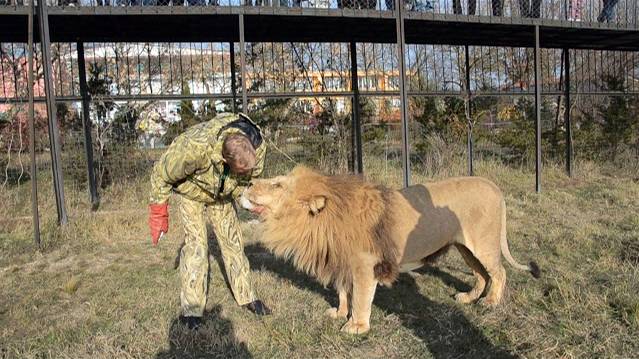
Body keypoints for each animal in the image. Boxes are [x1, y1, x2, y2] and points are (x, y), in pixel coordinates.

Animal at [240, 166, 540, 334]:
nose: (247, 183)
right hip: (465, 247)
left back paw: (491, 303)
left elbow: (361, 298)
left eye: (277, 185)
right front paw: (339, 313)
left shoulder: (365, 266)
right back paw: (468, 298)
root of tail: (493, 186)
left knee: (499, 273)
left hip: (483, 244)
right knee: (481, 275)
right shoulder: (342, 262)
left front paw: (356, 327)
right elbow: (343, 292)